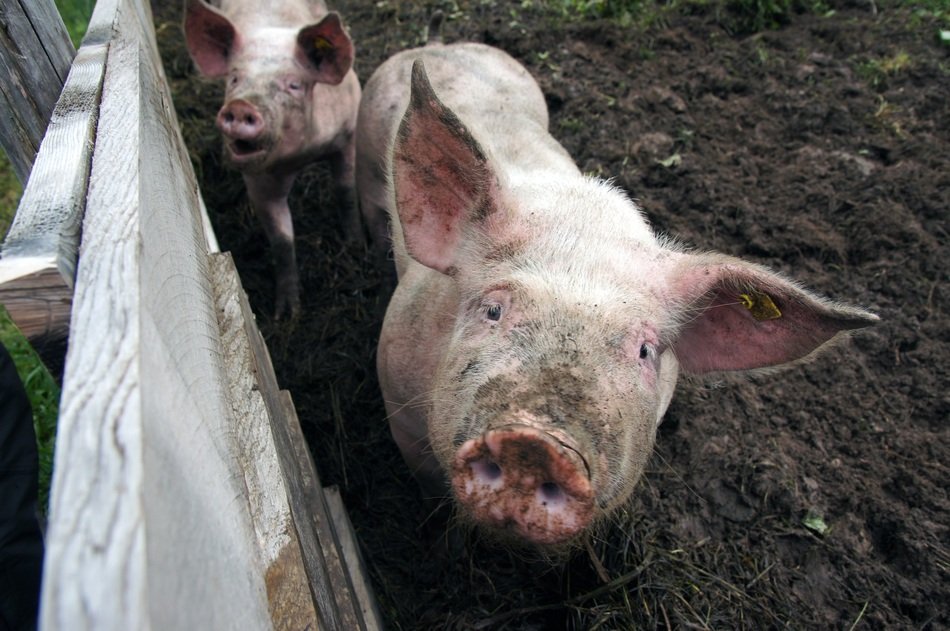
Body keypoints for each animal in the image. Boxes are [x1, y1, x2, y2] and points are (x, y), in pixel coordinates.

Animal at [184, 0, 361, 318]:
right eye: (235, 78)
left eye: (293, 85)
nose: (241, 107)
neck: (302, 156)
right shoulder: (258, 179)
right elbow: (281, 238)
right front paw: (288, 314)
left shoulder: (348, 133)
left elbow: (345, 191)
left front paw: (355, 245)